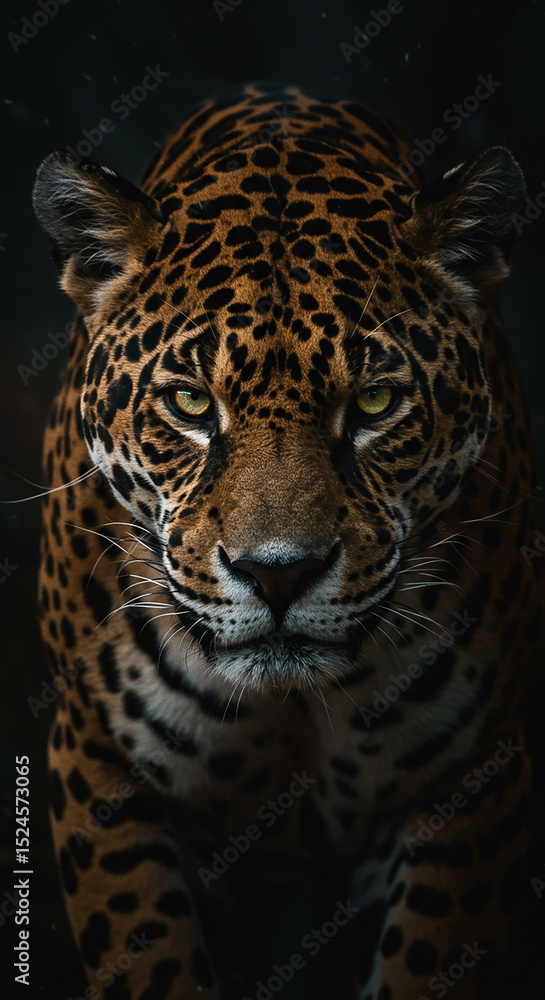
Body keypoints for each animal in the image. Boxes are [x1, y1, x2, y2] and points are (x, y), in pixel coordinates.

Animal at [32, 81, 543, 1000]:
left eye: (374, 404)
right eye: (191, 404)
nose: (278, 575)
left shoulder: (472, 774)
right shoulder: (98, 760)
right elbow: (147, 959)